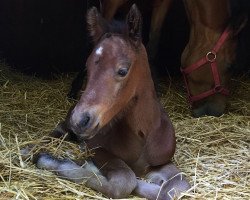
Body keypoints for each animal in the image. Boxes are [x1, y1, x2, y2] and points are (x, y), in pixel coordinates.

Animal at [33, 4, 190, 200]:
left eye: (122, 70)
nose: (80, 120)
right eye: (87, 67)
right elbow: (125, 180)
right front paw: (62, 162)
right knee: (57, 131)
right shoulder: (98, 148)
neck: (143, 133)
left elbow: (179, 185)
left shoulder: (162, 161)